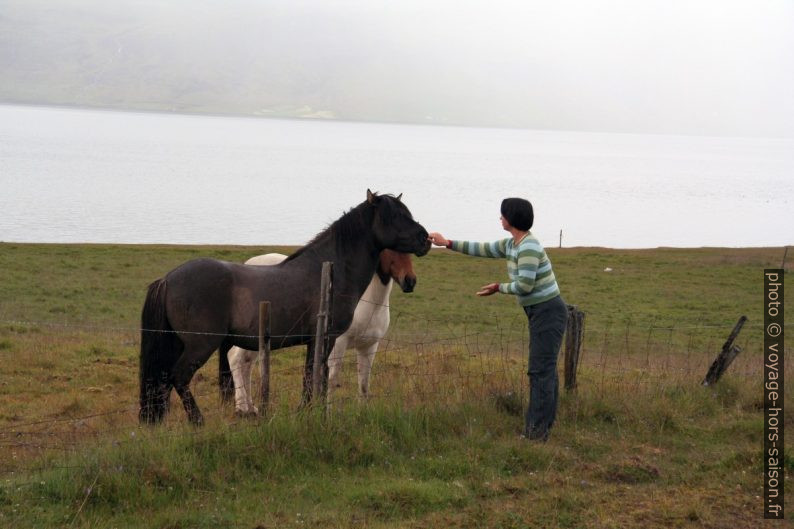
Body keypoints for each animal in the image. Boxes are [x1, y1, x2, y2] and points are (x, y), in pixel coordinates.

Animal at [226, 248, 414, 412]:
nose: (409, 281)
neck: (368, 302)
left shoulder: (369, 346)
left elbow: (364, 383)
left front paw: (363, 413)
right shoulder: (338, 343)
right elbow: (331, 379)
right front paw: (327, 413)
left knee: (246, 363)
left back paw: (251, 407)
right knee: (235, 358)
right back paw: (241, 407)